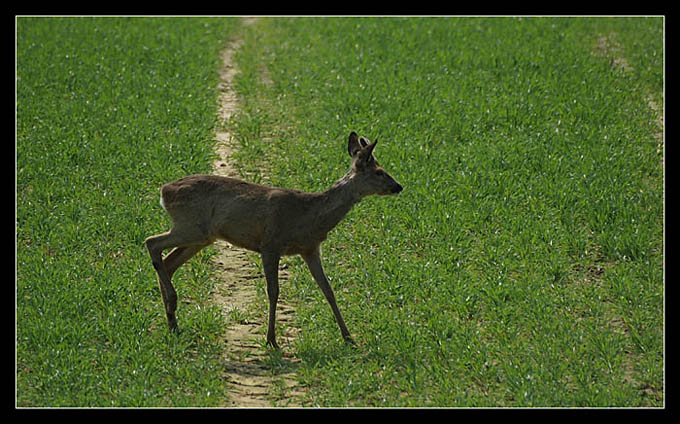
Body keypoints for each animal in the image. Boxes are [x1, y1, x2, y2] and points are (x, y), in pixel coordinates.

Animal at [143, 132, 398, 348]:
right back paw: (172, 304)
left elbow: (327, 289)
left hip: (201, 237)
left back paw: (172, 322)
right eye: (379, 171)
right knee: (151, 242)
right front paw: (271, 339)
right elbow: (273, 291)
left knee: (168, 262)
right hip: (191, 227)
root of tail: (163, 191)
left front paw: (348, 337)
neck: (309, 215)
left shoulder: (310, 249)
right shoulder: (270, 244)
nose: (399, 186)